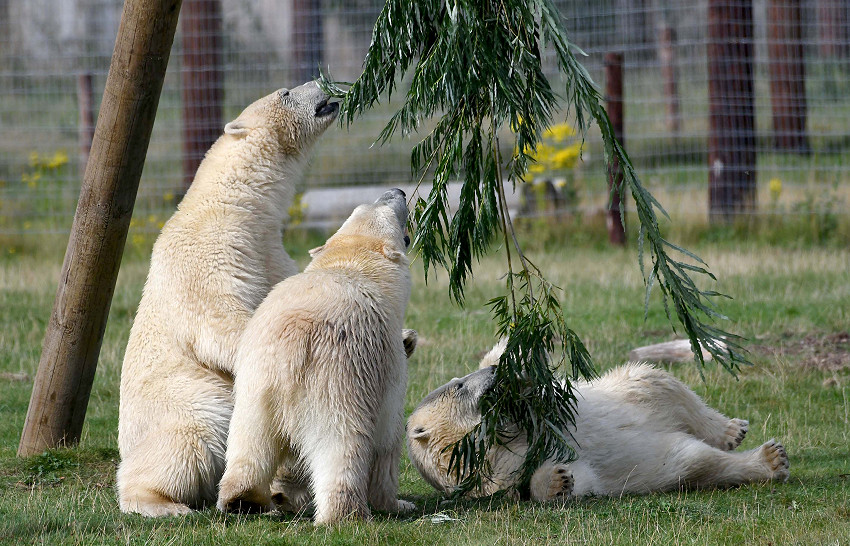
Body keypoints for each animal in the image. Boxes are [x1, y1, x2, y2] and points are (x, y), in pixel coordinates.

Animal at [117, 81, 342, 516]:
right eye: (285, 92)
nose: (319, 84)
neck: (233, 205)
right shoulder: (209, 253)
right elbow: (221, 325)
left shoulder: (268, 250)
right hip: (185, 403)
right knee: (188, 440)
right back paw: (166, 504)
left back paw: (284, 493)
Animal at [217, 188, 412, 524]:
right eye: (389, 210)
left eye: (367, 203)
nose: (396, 191)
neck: (349, 265)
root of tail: (288, 353)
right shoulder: (386, 359)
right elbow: (388, 436)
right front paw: (397, 503)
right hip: (337, 379)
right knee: (341, 444)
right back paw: (345, 515)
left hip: (254, 384)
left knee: (249, 440)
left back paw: (242, 499)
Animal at [406, 340, 788, 502]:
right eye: (458, 386)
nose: (491, 375)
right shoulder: (498, 473)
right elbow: (571, 476)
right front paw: (558, 480)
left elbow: (536, 403)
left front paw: (513, 359)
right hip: (665, 462)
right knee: (700, 463)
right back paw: (769, 460)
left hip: (627, 389)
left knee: (661, 384)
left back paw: (731, 430)